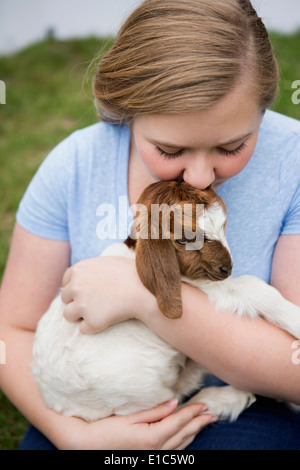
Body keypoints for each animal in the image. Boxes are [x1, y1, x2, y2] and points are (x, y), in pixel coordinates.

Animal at [31, 181, 300, 422]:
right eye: (183, 240)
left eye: (224, 225)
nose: (226, 269)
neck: (134, 254)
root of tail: (54, 401)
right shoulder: (200, 285)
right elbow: (252, 287)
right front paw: (295, 320)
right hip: (141, 394)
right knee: (173, 409)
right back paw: (228, 397)